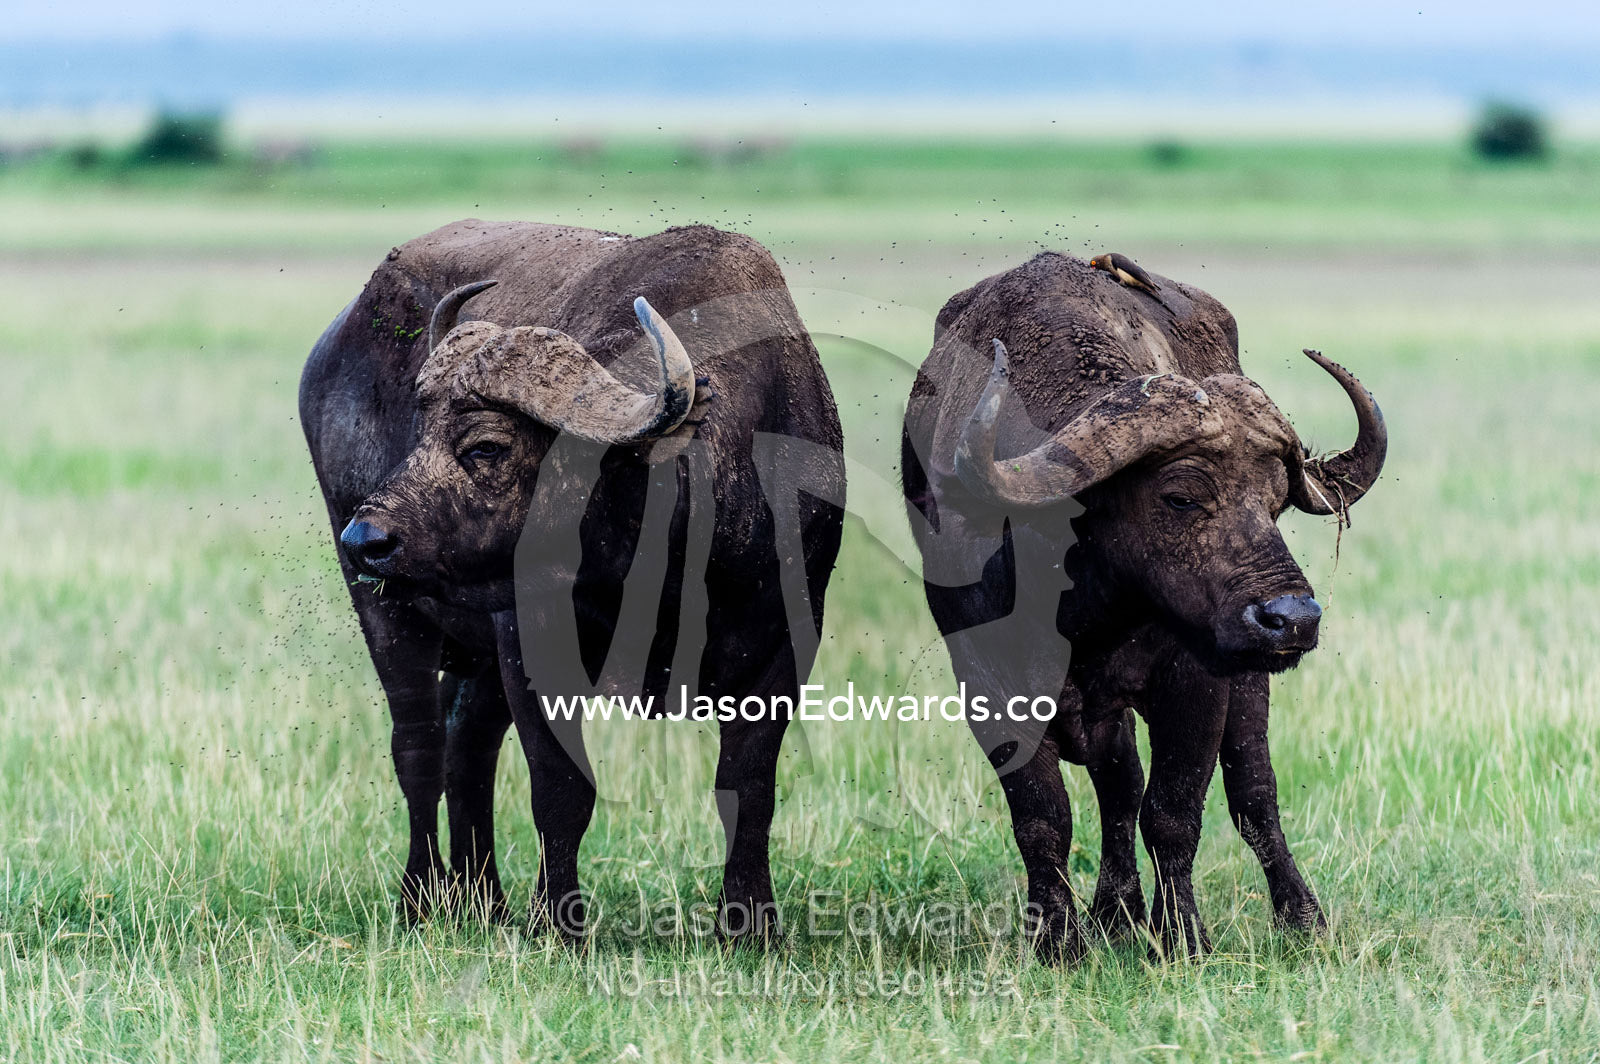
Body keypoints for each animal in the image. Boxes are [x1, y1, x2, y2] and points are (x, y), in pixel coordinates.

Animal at [300, 220, 844, 938]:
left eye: (486, 446)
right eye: (420, 433)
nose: (366, 540)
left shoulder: (783, 647)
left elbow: (748, 786)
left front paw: (751, 924)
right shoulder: (529, 641)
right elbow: (562, 788)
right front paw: (559, 924)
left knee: (466, 745)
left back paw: (482, 901)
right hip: (388, 611)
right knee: (418, 747)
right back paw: (420, 898)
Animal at [900, 252, 1386, 960]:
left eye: (1276, 502)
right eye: (1179, 496)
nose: (1292, 619)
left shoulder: (1198, 677)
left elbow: (1174, 812)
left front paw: (1184, 935)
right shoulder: (988, 678)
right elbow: (1043, 815)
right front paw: (1057, 940)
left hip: (1245, 682)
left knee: (1252, 793)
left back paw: (1299, 918)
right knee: (1119, 785)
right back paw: (1114, 912)